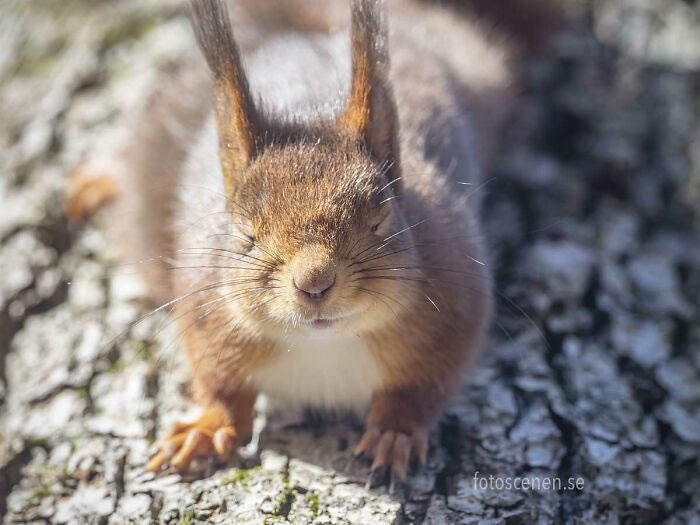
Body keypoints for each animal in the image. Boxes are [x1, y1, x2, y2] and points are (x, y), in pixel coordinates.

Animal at [64, 0, 556, 484]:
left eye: (379, 218)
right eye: (246, 234)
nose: (314, 282)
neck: (323, 345)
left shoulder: (453, 312)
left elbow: (420, 389)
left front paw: (395, 432)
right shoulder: (205, 312)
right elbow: (220, 384)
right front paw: (208, 427)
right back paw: (98, 179)